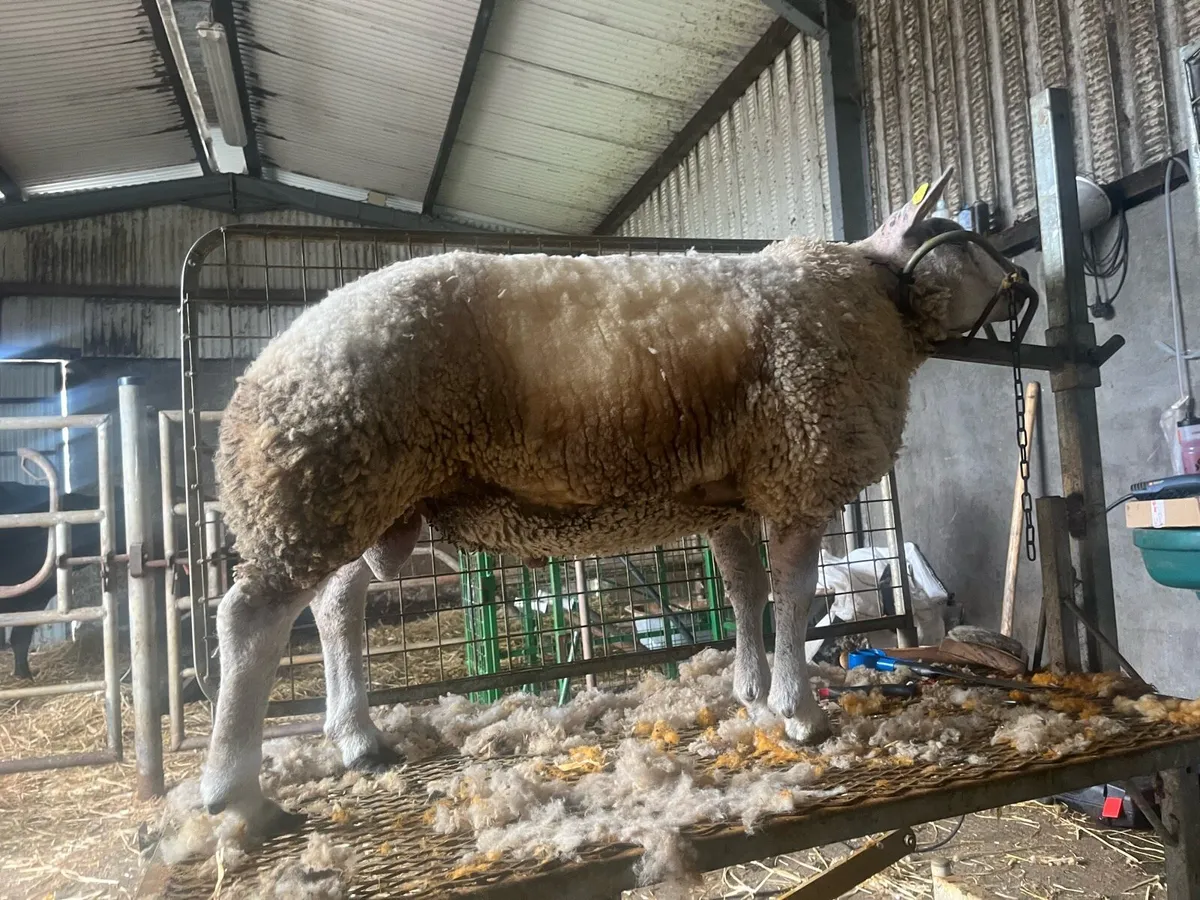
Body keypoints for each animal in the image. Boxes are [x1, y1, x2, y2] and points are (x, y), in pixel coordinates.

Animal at [199, 167, 1021, 838]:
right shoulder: (800, 474)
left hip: (373, 502)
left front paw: (753, 693)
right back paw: (235, 793)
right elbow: (792, 595)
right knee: (250, 622)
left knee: (336, 603)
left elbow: (745, 589)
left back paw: (358, 739)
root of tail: (261, 367)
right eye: (959, 236)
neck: (878, 303)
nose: (1023, 285)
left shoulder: (729, 499)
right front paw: (798, 712)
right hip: (313, 488)